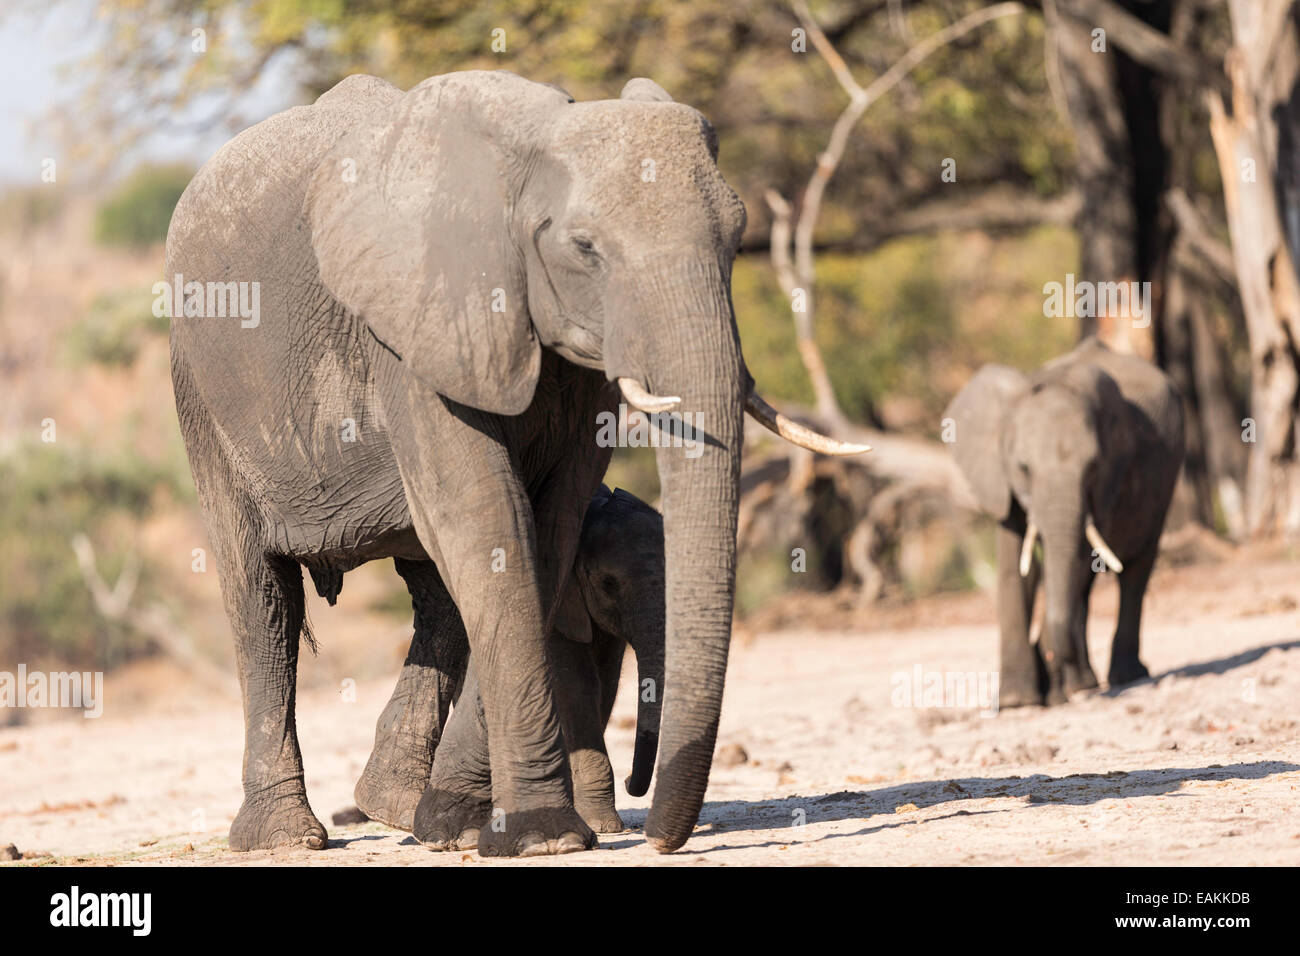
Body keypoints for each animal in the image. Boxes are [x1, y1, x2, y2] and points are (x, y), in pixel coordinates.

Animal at [165, 70, 863, 858]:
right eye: (585, 248)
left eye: (740, 239)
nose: (657, 833)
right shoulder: (414, 328)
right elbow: (488, 525)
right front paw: (541, 839)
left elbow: (544, 534)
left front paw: (468, 826)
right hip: (200, 390)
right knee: (262, 597)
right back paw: (285, 837)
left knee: (436, 595)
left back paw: (400, 811)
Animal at [946, 340, 1190, 707]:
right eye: (1023, 468)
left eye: (1093, 467)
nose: (1046, 661)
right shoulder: (1001, 483)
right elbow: (1016, 566)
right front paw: (1017, 701)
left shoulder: (1107, 484)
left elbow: (1075, 563)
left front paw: (1053, 691)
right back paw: (1085, 681)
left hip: (1166, 481)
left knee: (1135, 568)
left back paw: (1120, 677)